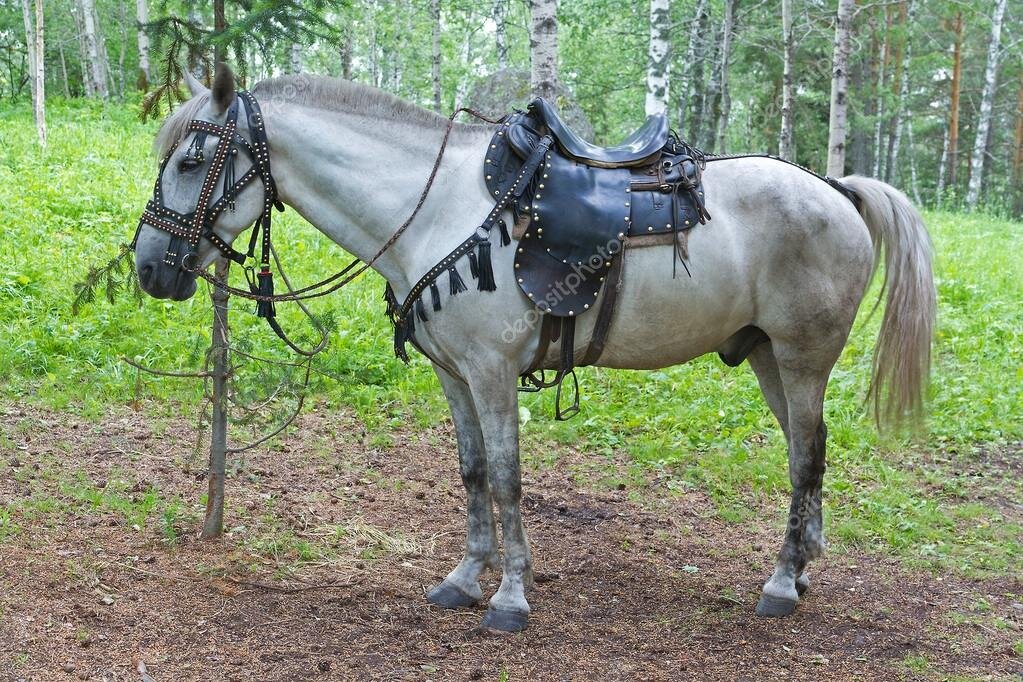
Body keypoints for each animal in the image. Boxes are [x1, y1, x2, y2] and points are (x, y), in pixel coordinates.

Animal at [134, 65, 937, 633]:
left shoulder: (493, 372)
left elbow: (507, 479)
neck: (436, 209)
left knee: (804, 460)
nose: (147, 268)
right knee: (810, 451)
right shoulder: (454, 375)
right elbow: (470, 473)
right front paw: (464, 579)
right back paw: (799, 570)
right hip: (769, 357)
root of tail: (833, 188)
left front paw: (510, 597)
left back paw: (778, 584)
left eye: (191, 160)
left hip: (801, 358)